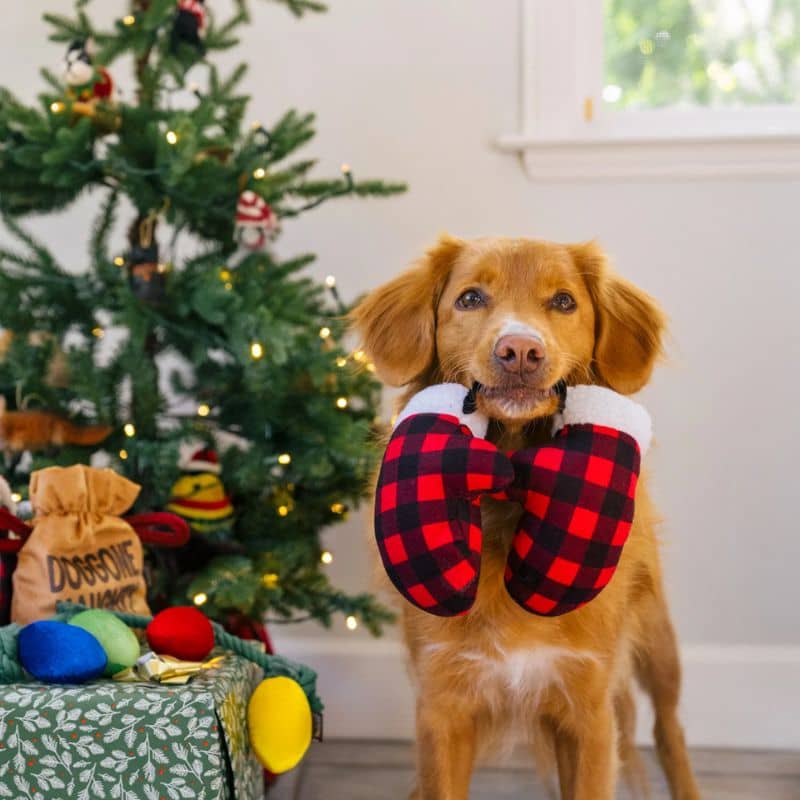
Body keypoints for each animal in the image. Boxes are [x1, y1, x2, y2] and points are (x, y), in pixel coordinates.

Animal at [352, 236, 700, 800]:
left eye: (563, 301)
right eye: (471, 298)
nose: (520, 351)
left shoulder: (589, 710)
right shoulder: (443, 708)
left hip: (658, 647)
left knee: (671, 731)